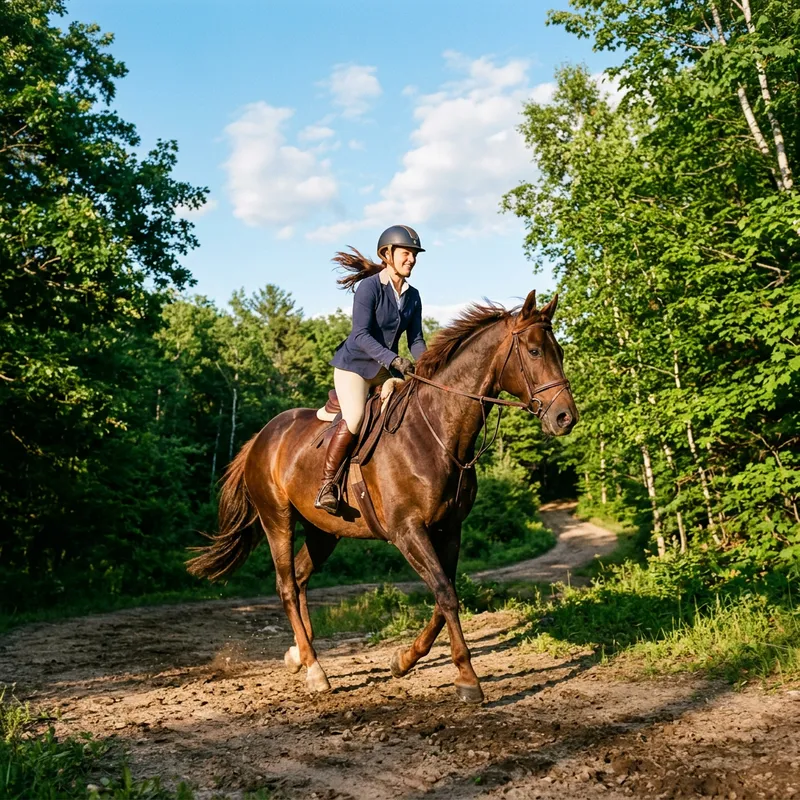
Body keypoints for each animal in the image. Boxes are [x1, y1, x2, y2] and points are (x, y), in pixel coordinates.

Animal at [187, 290, 578, 703]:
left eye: (559, 350)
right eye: (533, 351)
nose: (566, 418)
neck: (436, 431)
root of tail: (262, 436)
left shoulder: (450, 529)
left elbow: (445, 595)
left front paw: (403, 660)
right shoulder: (408, 531)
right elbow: (446, 593)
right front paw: (468, 679)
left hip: (324, 530)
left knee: (303, 576)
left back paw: (299, 654)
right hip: (277, 519)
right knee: (287, 585)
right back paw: (315, 670)